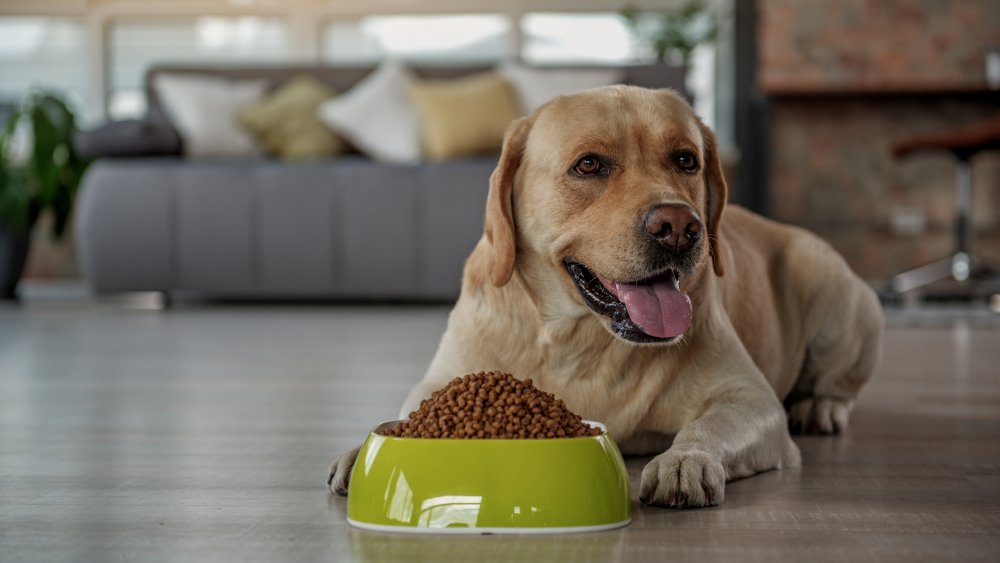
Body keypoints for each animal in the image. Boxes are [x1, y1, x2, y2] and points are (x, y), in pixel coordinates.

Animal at [330, 86, 884, 508]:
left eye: (686, 160)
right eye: (589, 165)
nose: (679, 227)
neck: (577, 338)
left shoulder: (751, 399)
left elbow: (708, 427)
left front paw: (685, 460)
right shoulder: (443, 379)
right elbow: (410, 414)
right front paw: (361, 450)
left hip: (835, 288)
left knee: (840, 383)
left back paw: (820, 407)